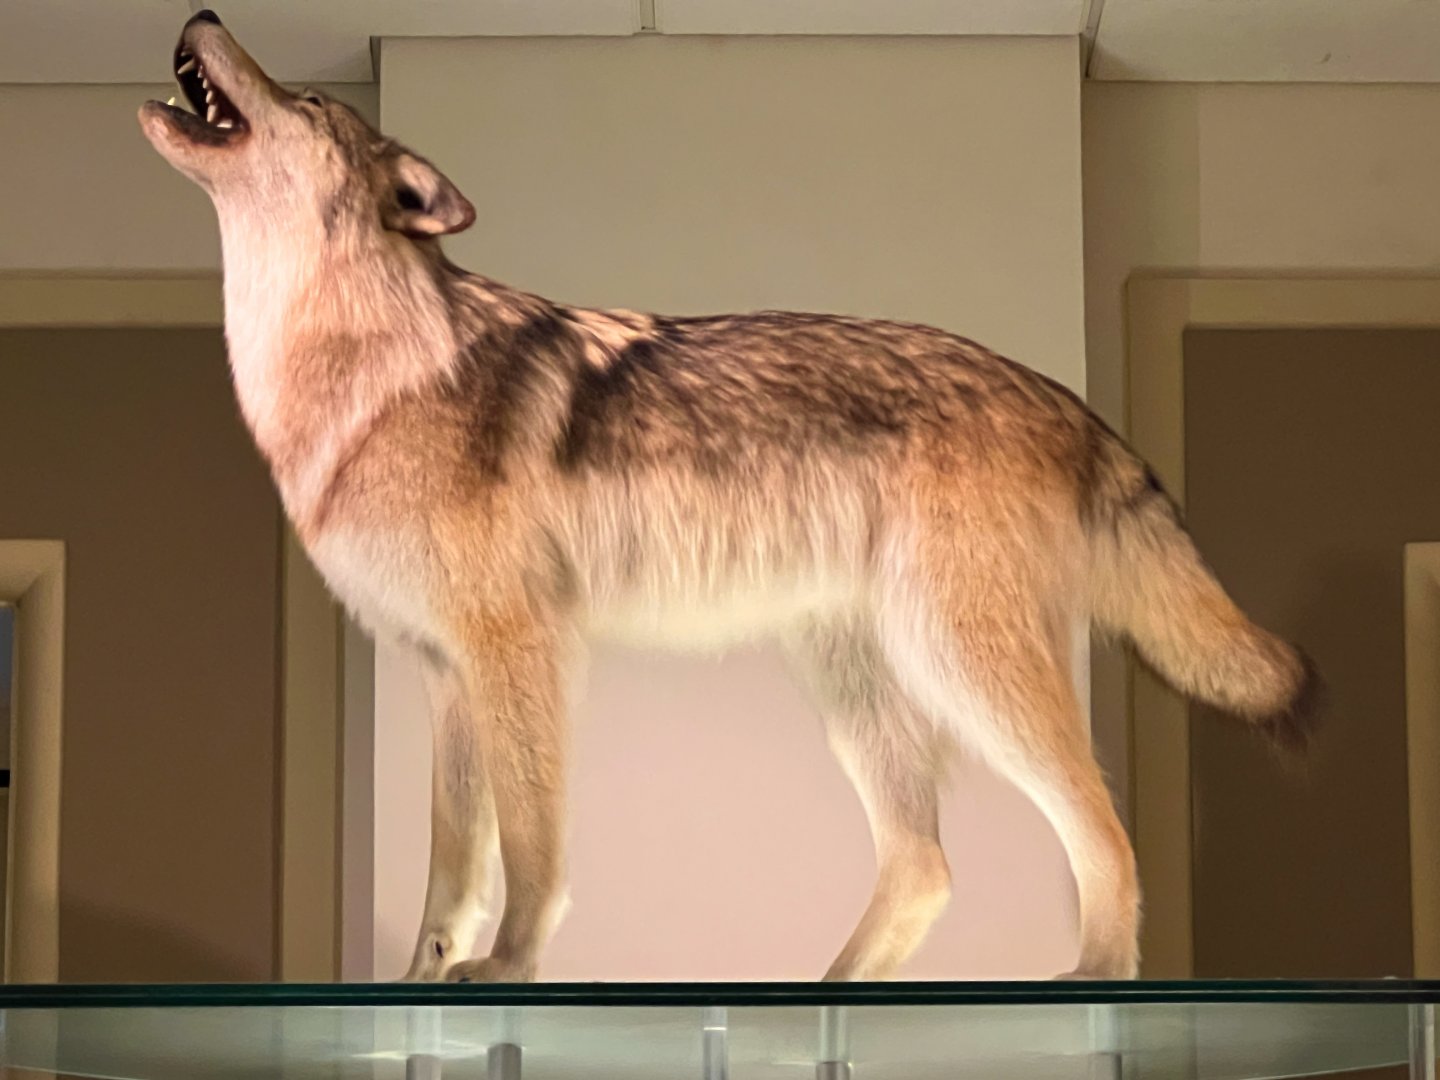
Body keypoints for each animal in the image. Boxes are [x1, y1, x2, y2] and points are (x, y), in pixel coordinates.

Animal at [140, 10, 1320, 984]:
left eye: (310, 101)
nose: (200, 10)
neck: (359, 367)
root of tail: (1065, 398)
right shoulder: (444, 672)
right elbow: (450, 873)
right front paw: (422, 982)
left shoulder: (519, 649)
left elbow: (530, 854)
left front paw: (507, 968)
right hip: (860, 689)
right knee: (926, 864)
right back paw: (824, 998)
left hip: (960, 665)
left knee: (1100, 828)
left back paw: (1093, 977)